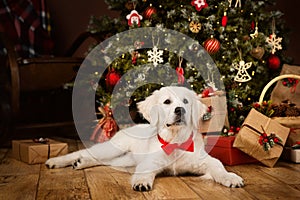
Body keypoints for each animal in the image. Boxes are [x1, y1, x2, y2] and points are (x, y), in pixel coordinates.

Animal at [45, 85, 244, 191]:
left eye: (186, 101)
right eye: (167, 102)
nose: (180, 110)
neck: (174, 141)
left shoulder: (204, 160)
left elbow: (218, 166)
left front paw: (230, 177)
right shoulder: (150, 162)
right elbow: (145, 171)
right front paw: (141, 182)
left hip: (124, 160)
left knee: (102, 161)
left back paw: (80, 163)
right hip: (113, 148)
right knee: (86, 152)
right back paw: (58, 161)